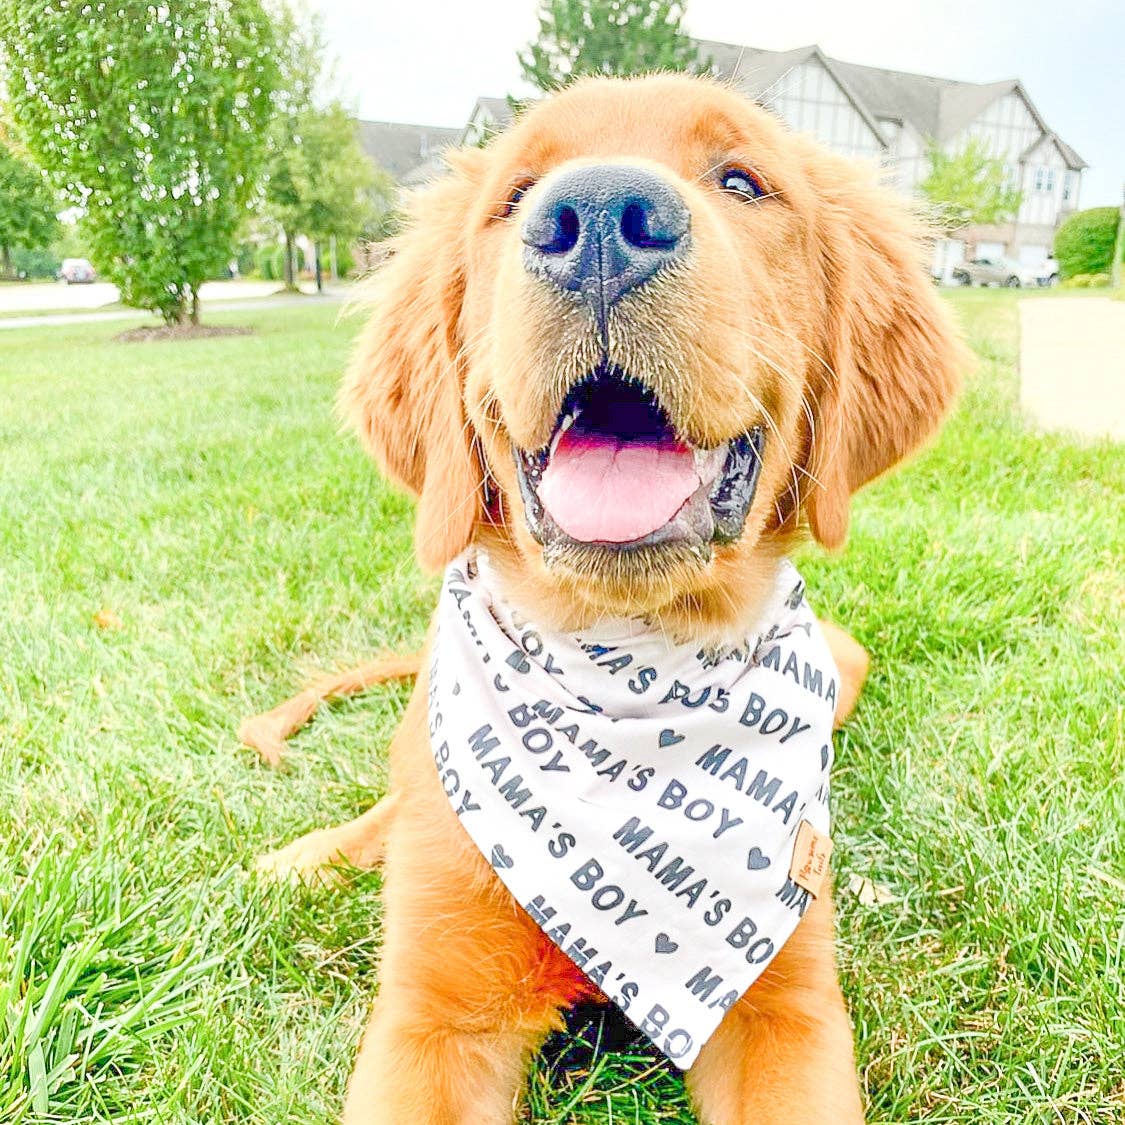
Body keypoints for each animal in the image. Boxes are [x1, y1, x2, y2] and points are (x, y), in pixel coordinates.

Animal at [267, 74, 963, 1120]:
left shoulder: (787, 1010)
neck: (621, 672)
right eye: (514, 194)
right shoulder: (432, 1020)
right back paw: (305, 857)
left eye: (741, 180)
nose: (595, 217)